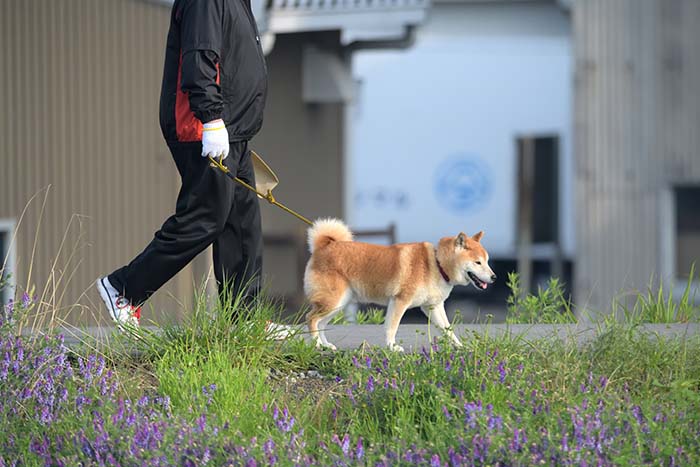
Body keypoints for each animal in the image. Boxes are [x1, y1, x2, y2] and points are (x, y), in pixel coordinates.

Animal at [304, 219, 494, 352]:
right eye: (478, 262)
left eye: (487, 261)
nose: (494, 277)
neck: (436, 264)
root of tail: (324, 246)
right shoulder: (399, 301)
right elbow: (392, 327)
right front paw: (392, 347)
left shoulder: (433, 307)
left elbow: (448, 329)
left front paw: (461, 347)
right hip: (333, 301)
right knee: (311, 319)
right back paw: (317, 345)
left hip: (337, 304)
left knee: (321, 324)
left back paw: (326, 345)